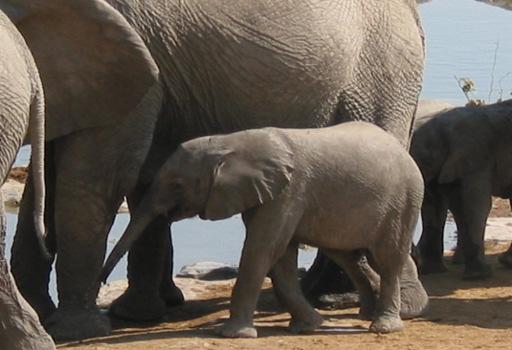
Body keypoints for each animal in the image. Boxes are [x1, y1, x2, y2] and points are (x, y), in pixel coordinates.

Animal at [100, 121, 424, 336]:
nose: (102, 280)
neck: (230, 143)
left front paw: (234, 335)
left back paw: (383, 327)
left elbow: (262, 249)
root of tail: (404, 150)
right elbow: (280, 259)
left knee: (387, 259)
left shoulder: (288, 192)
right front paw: (307, 326)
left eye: (177, 185)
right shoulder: (263, 194)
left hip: (404, 200)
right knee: (348, 257)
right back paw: (365, 313)